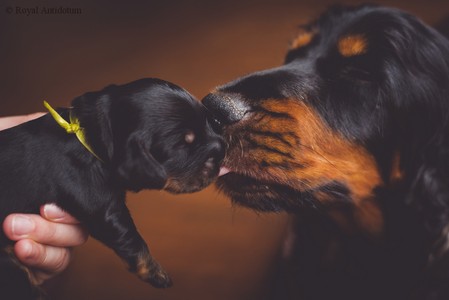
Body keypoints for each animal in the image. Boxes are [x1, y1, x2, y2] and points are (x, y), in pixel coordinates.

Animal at [0, 78, 224, 298]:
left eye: (208, 121)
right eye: (184, 144)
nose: (221, 149)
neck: (89, 134)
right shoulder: (102, 206)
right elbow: (132, 239)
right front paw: (157, 273)